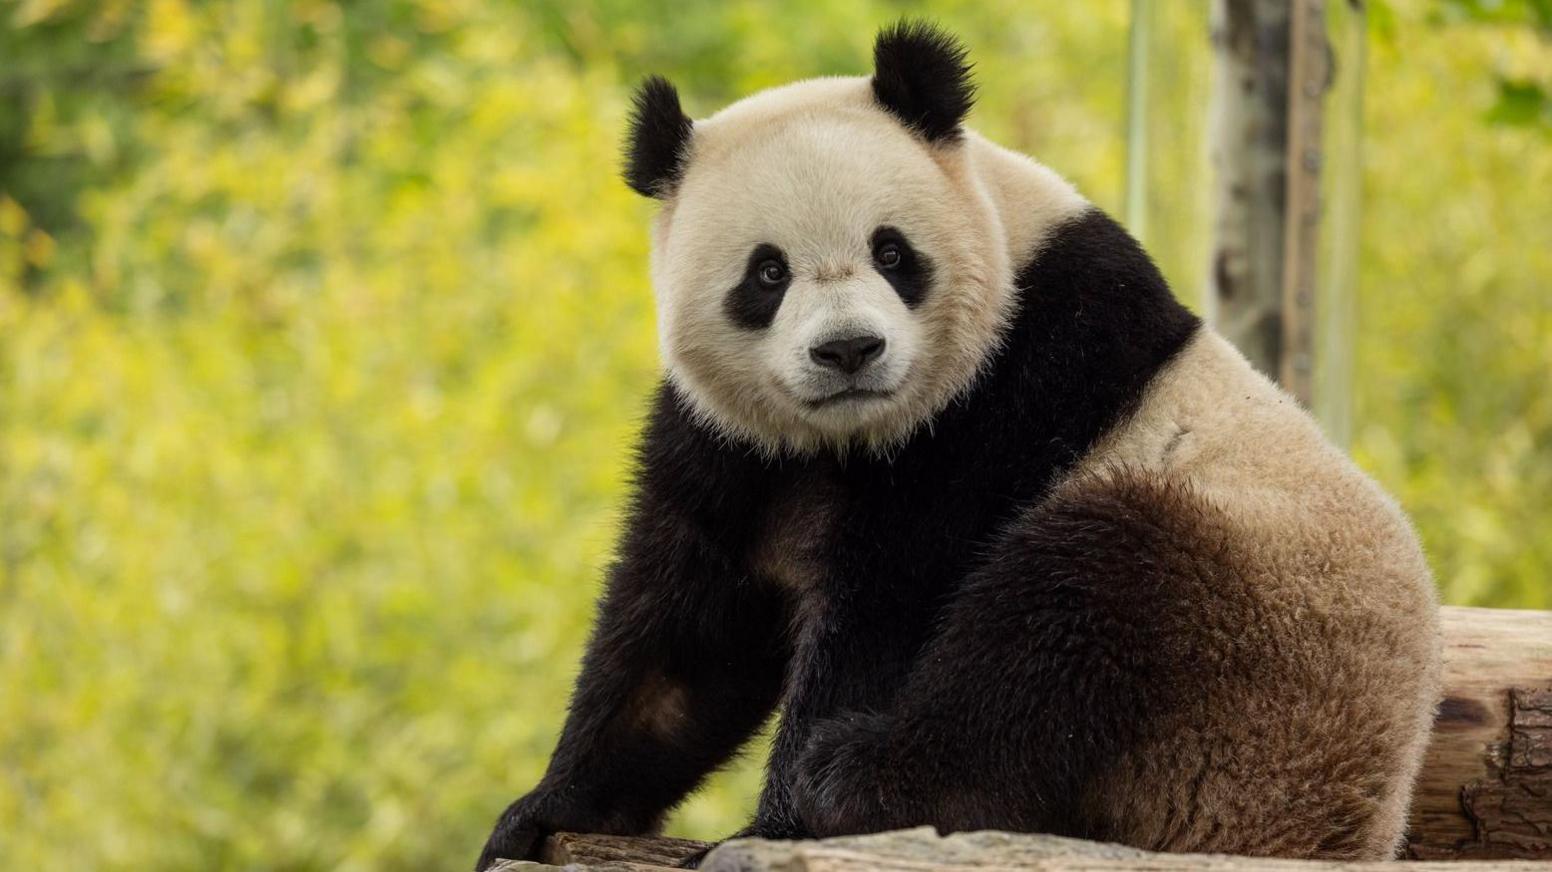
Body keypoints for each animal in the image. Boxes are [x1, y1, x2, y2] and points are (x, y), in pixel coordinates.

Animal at [474, 23, 1440, 862]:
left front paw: (774, 825)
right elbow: (688, 635)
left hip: (1247, 638)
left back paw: (858, 778)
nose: (849, 350)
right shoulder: (734, 445)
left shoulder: (1011, 387)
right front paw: (543, 812)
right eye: (767, 272)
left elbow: (891, 605)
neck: (847, 437)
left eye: (892, 252)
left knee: (1071, 615)